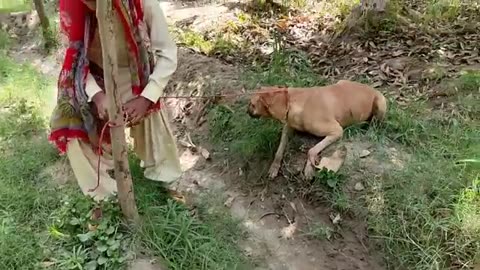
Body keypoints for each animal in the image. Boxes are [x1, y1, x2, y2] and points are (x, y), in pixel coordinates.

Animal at [248, 79, 386, 179]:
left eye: (252, 104)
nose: (246, 111)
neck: (293, 102)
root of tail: (373, 89)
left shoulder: (337, 130)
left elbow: (311, 150)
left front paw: (309, 168)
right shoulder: (288, 127)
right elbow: (279, 150)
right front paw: (274, 167)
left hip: (380, 104)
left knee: (376, 123)